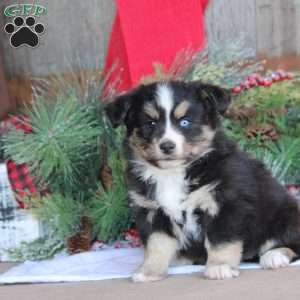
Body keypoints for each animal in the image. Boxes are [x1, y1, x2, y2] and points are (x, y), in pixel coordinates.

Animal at [105, 80, 300, 282]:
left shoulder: (226, 203)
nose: (167, 146)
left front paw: (219, 267)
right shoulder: (152, 211)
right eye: (150, 123)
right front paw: (150, 271)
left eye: (185, 122)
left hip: (284, 215)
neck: (173, 172)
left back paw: (274, 256)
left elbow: (221, 241)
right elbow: (156, 245)